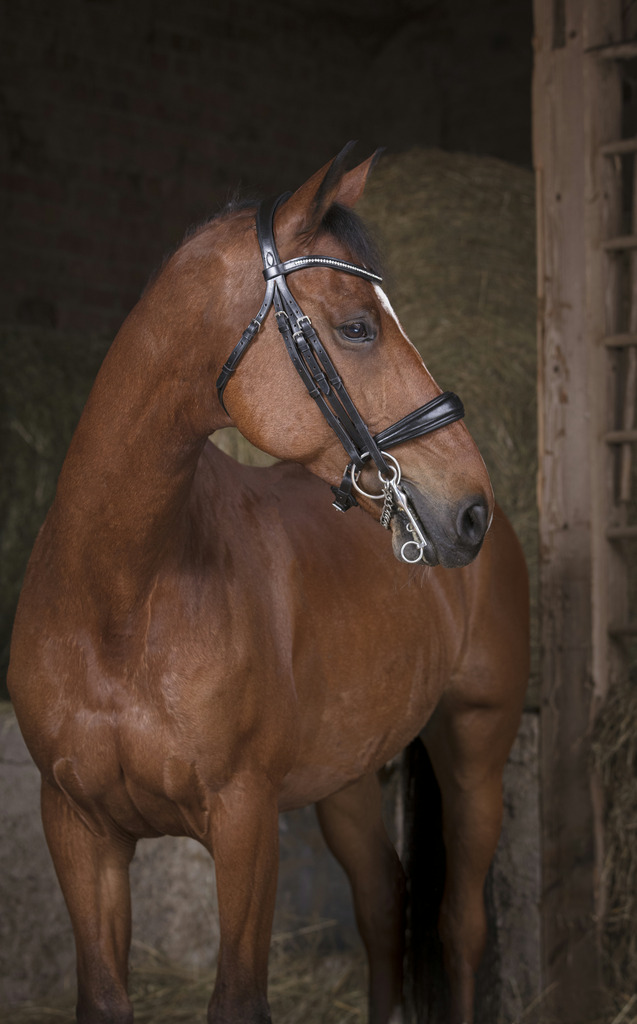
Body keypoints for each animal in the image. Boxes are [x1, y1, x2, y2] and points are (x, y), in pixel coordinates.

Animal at [8, 144, 529, 1024]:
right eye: (356, 327)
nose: (468, 510)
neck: (119, 601)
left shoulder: (244, 826)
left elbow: (238, 999)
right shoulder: (77, 829)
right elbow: (104, 998)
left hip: (475, 750)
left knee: (459, 925)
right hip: (347, 779)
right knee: (382, 902)